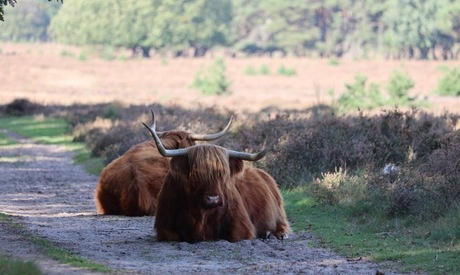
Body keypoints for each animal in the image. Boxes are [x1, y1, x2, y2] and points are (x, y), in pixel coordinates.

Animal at [144, 118, 290, 244]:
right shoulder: (164, 227)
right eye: (196, 174)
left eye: (222, 174)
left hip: (279, 213)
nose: (213, 198)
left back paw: (276, 234)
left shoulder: (242, 225)